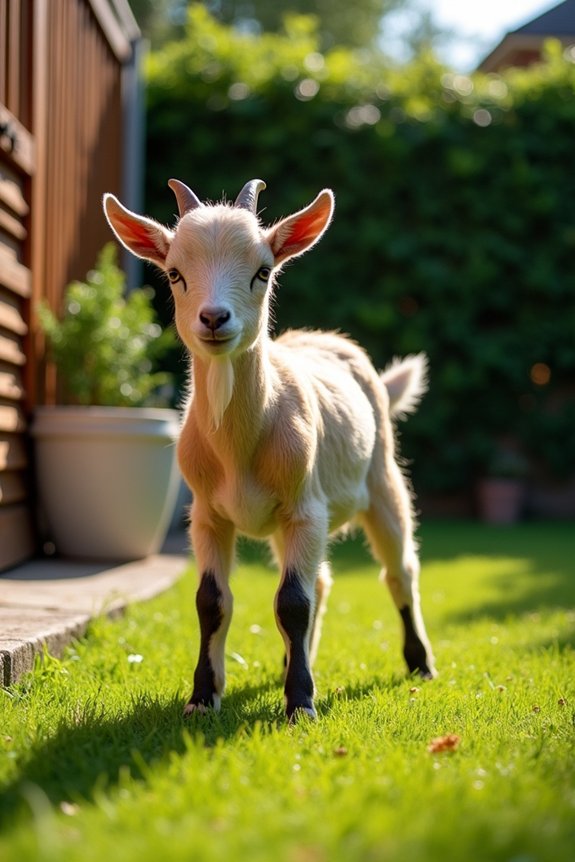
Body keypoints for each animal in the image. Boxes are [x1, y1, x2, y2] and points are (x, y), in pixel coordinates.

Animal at [103, 179, 435, 721]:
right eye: (174, 273)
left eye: (263, 271)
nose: (214, 318)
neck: (239, 449)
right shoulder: (207, 516)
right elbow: (212, 601)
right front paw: (203, 697)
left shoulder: (305, 508)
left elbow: (291, 603)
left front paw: (300, 704)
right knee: (321, 581)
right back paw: (292, 662)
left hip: (382, 480)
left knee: (397, 570)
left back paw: (419, 663)